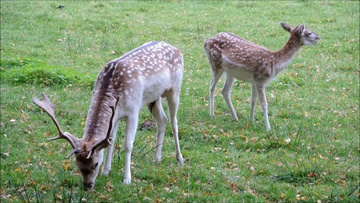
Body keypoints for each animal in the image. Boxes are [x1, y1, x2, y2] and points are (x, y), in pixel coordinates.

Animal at [32, 40, 184, 189]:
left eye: (95, 164)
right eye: (77, 164)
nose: (87, 185)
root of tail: (176, 49)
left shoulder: (133, 111)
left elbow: (128, 145)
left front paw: (127, 179)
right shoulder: (115, 116)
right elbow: (111, 142)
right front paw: (106, 171)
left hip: (175, 89)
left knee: (174, 122)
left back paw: (179, 158)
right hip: (153, 98)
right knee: (162, 119)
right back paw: (157, 158)